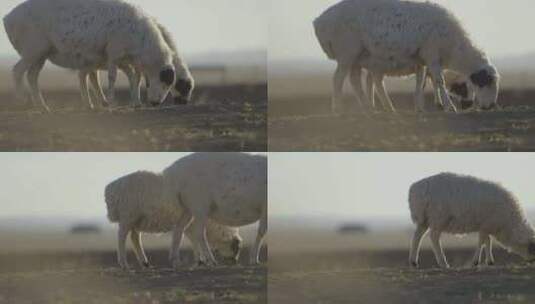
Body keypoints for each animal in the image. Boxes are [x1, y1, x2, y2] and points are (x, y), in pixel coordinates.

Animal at [3, 0, 178, 111]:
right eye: (165, 83)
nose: (155, 103)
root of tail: (8, 18)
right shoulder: (114, 53)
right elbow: (113, 77)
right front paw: (111, 101)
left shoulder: (123, 60)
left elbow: (133, 77)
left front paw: (135, 102)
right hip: (33, 50)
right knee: (17, 71)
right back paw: (22, 100)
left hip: (41, 55)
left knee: (32, 76)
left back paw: (43, 106)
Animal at [105, 170, 243, 270]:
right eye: (235, 246)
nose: (235, 262)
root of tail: (110, 188)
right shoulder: (190, 222)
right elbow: (188, 238)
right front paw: (196, 260)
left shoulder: (188, 224)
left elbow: (189, 238)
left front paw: (199, 260)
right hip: (127, 216)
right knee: (121, 236)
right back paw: (124, 263)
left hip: (137, 219)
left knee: (134, 237)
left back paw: (145, 263)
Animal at [316, 0, 500, 113]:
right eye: (487, 82)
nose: (490, 106)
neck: (455, 48)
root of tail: (319, 21)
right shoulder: (432, 55)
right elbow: (439, 81)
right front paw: (449, 107)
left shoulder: (421, 61)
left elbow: (421, 82)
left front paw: (421, 107)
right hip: (347, 53)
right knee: (338, 79)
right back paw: (338, 109)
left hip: (357, 57)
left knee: (355, 81)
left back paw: (370, 108)